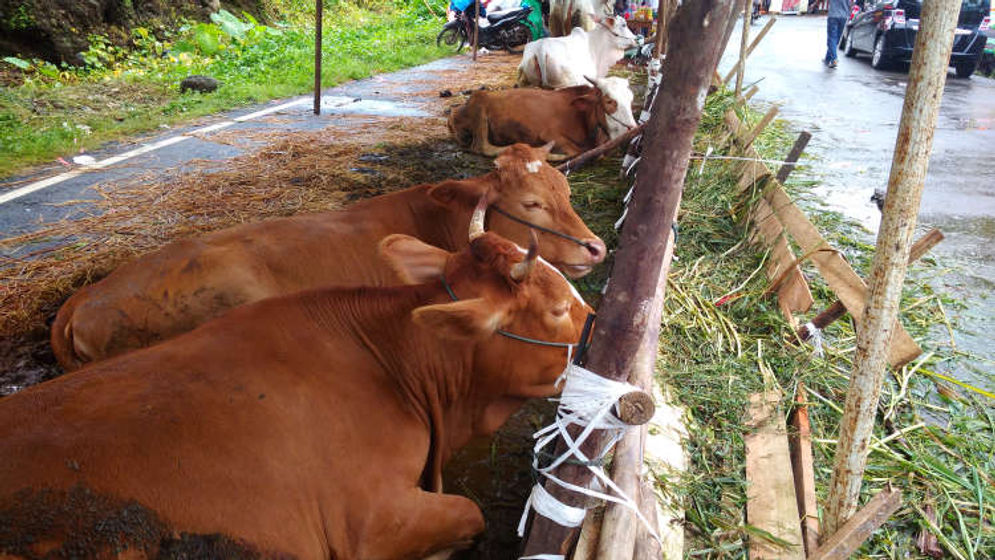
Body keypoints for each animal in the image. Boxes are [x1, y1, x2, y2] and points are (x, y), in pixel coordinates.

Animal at [448, 76, 636, 160]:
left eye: (631, 99)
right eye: (609, 100)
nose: (632, 130)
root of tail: (454, 112)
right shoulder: (550, 134)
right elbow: (576, 152)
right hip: (480, 103)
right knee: (482, 147)